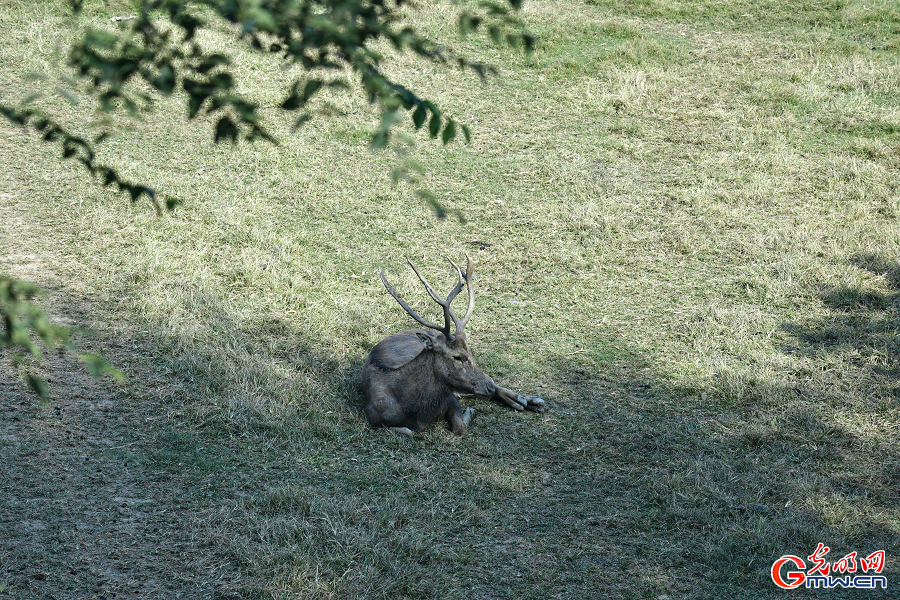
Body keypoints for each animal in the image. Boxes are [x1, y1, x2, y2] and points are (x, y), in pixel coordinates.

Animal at [362, 254, 544, 436]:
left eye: (471, 352)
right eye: (457, 357)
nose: (489, 387)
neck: (416, 411)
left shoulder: (450, 398)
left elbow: (460, 428)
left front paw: (470, 412)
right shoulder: (373, 418)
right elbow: (410, 431)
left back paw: (529, 400)